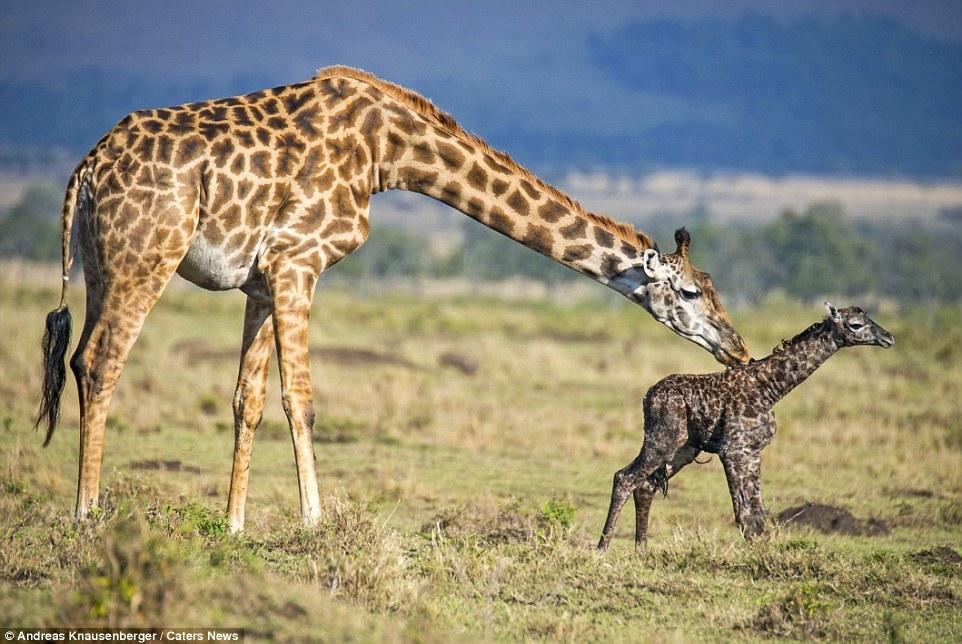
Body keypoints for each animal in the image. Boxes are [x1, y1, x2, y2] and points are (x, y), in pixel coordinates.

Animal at [37, 65, 748, 532]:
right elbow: (302, 400)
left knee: (80, 359)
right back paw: (85, 514)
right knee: (100, 363)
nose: (737, 349)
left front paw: (234, 525)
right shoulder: (299, 260)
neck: (389, 152)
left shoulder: (263, 278)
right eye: (691, 292)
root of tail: (86, 169)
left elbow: (249, 401)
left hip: (103, 265)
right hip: (146, 259)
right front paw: (314, 521)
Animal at [600, 302, 892, 548]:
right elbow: (744, 513)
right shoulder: (734, 450)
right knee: (624, 478)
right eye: (856, 324)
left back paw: (642, 550)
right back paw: (602, 548)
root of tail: (648, 395)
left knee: (645, 485)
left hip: (683, 449)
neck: (770, 389)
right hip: (663, 440)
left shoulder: (752, 452)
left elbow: (757, 511)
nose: (888, 337)